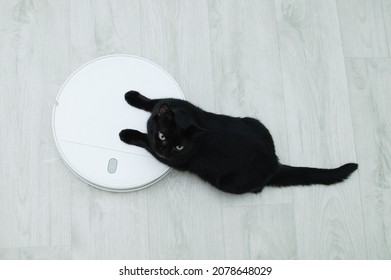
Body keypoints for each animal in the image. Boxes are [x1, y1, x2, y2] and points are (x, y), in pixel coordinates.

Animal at [119, 91, 358, 194]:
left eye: (179, 147)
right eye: (162, 135)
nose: (164, 149)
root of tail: (274, 164)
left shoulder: (175, 162)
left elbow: (144, 139)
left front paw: (126, 133)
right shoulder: (173, 102)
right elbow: (154, 101)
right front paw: (131, 96)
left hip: (230, 183)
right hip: (255, 123)